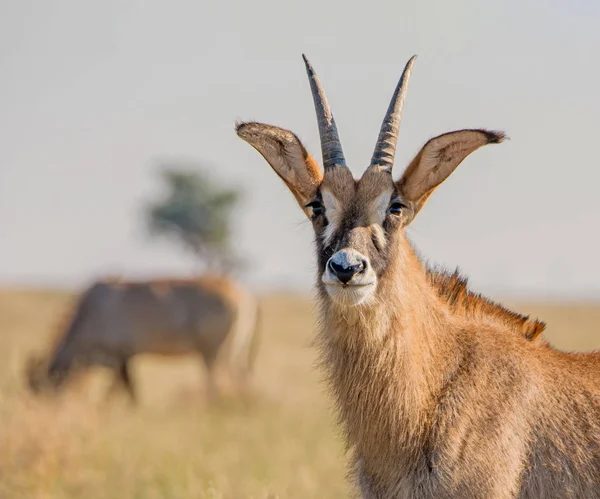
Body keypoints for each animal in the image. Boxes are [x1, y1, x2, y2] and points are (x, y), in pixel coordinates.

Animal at [27, 276, 258, 404]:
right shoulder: (122, 361)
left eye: (41, 390)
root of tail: (243, 296)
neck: (93, 308)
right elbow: (121, 392)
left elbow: (128, 393)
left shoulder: (121, 359)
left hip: (214, 354)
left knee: (217, 382)